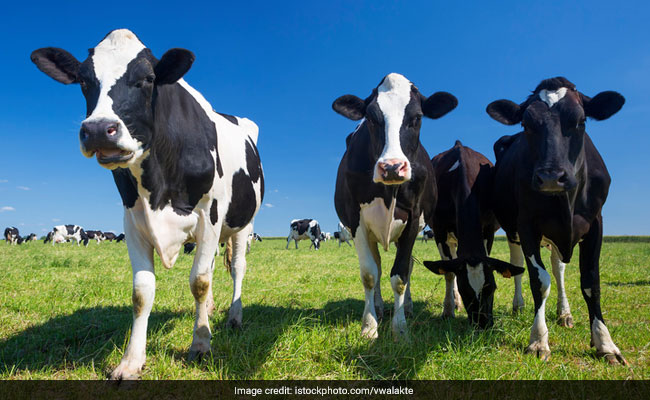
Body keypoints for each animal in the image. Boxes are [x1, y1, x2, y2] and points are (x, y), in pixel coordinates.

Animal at [31, 29, 264, 380]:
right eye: (84, 80)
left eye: (148, 79)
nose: (98, 130)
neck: (158, 184)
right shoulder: (133, 221)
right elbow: (142, 292)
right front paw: (130, 361)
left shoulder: (208, 216)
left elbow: (199, 282)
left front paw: (200, 345)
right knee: (211, 267)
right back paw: (210, 311)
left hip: (241, 224)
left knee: (237, 268)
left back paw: (233, 317)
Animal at [333, 72, 457, 340]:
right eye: (370, 118)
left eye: (417, 117)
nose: (391, 167)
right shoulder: (355, 220)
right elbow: (369, 274)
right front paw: (369, 326)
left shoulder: (413, 218)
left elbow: (400, 275)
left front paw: (400, 329)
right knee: (378, 266)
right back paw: (378, 307)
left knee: (406, 266)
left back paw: (407, 307)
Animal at [422, 141, 524, 327]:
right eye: (465, 290)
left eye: (492, 287)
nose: (483, 324)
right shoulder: (440, 232)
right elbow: (449, 273)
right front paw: (448, 310)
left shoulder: (488, 230)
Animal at [486, 76, 626, 364]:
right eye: (526, 124)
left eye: (581, 120)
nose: (551, 177)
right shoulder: (527, 225)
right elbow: (539, 281)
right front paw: (538, 340)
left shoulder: (596, 223)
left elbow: (590, 281)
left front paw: (605, 342)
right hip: (514, 229)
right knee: (519, 264)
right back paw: (519, 305)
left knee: (559, 268)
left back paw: (565, 313)